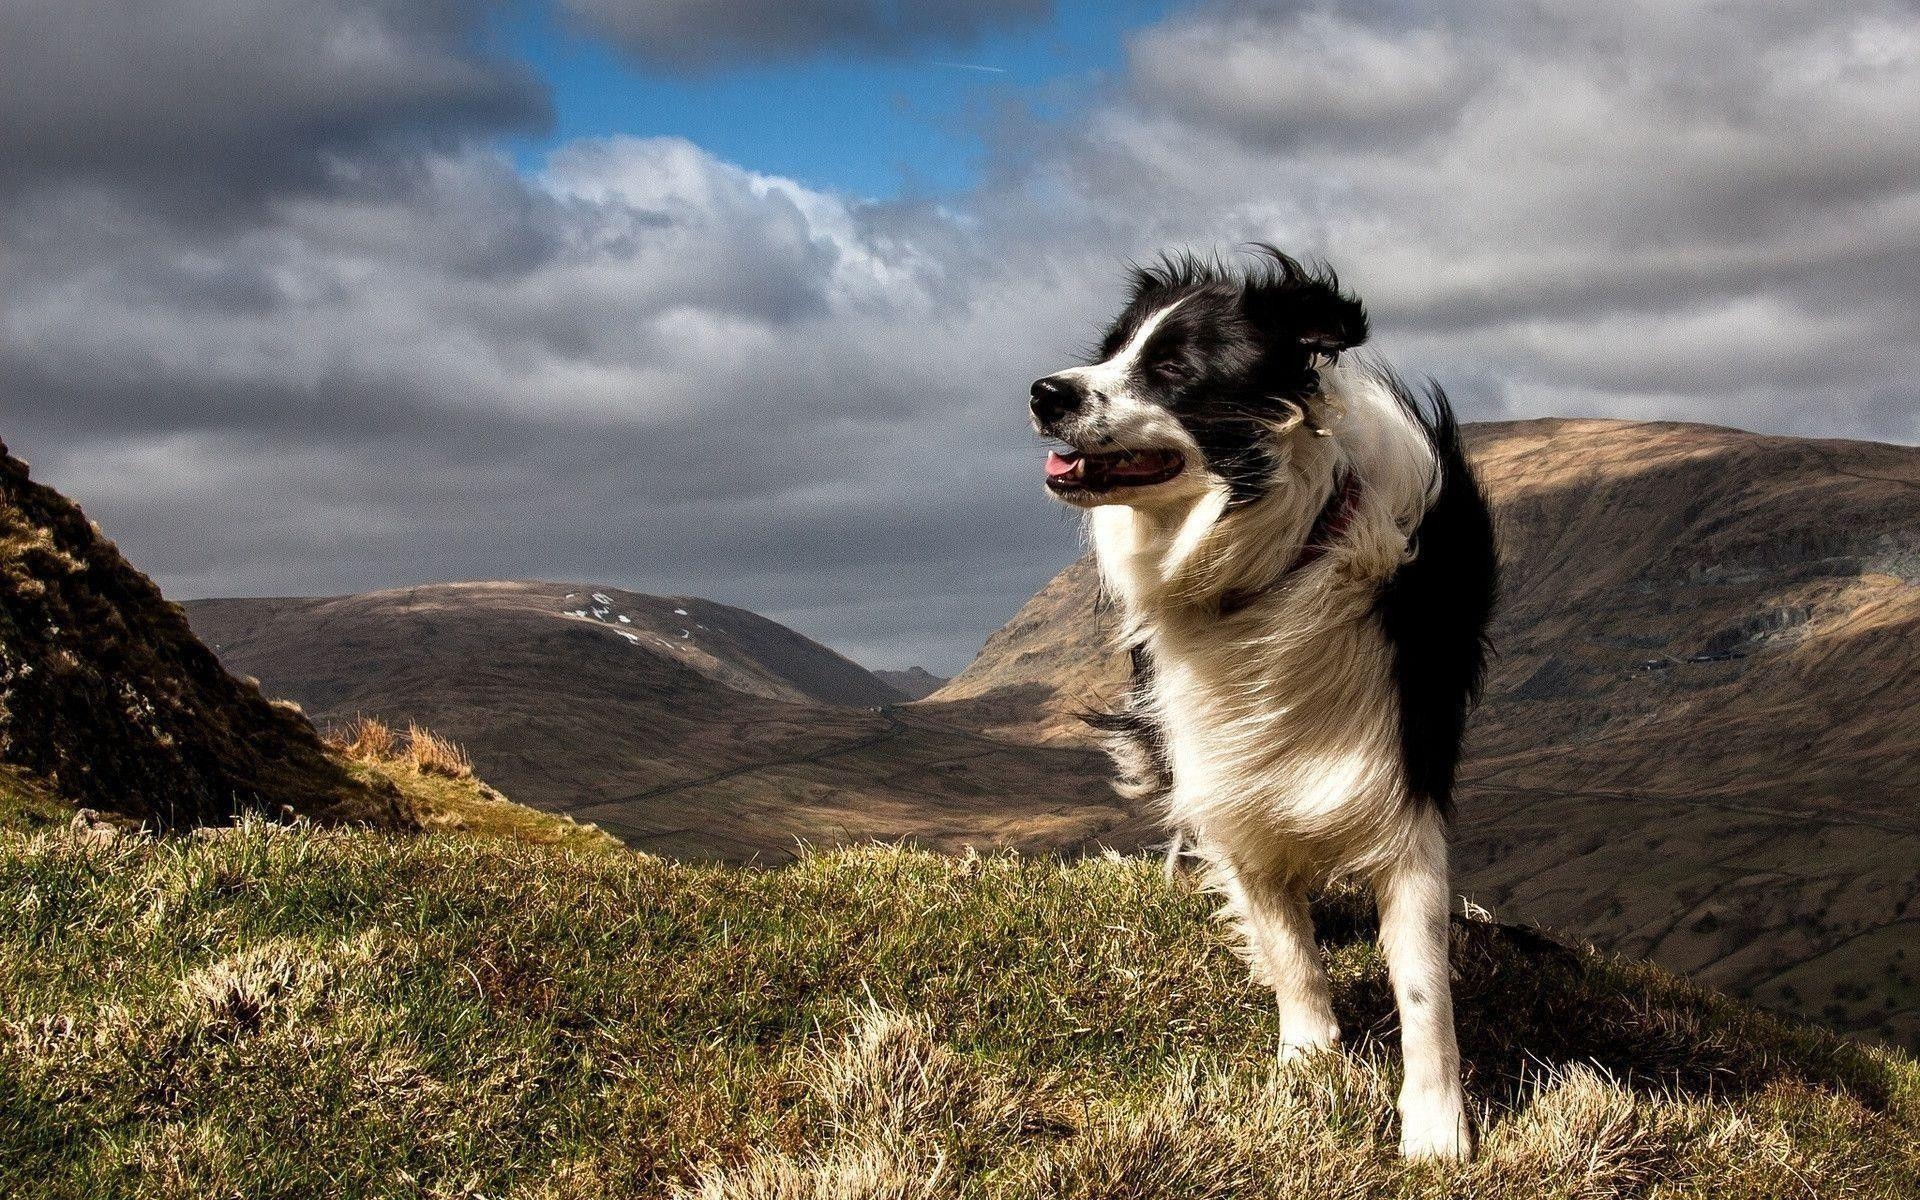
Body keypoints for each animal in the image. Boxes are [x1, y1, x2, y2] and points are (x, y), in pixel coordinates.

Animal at [1036, 247, 1497, 1159]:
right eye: (1110, 352)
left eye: (1173, 368)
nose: (1043, 393)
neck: (1279, 552)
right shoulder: (1229, 772)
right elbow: (1285, 941)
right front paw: (1310, 1059)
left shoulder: (1401, 771)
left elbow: (1422, 980)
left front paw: (1436, 1127)